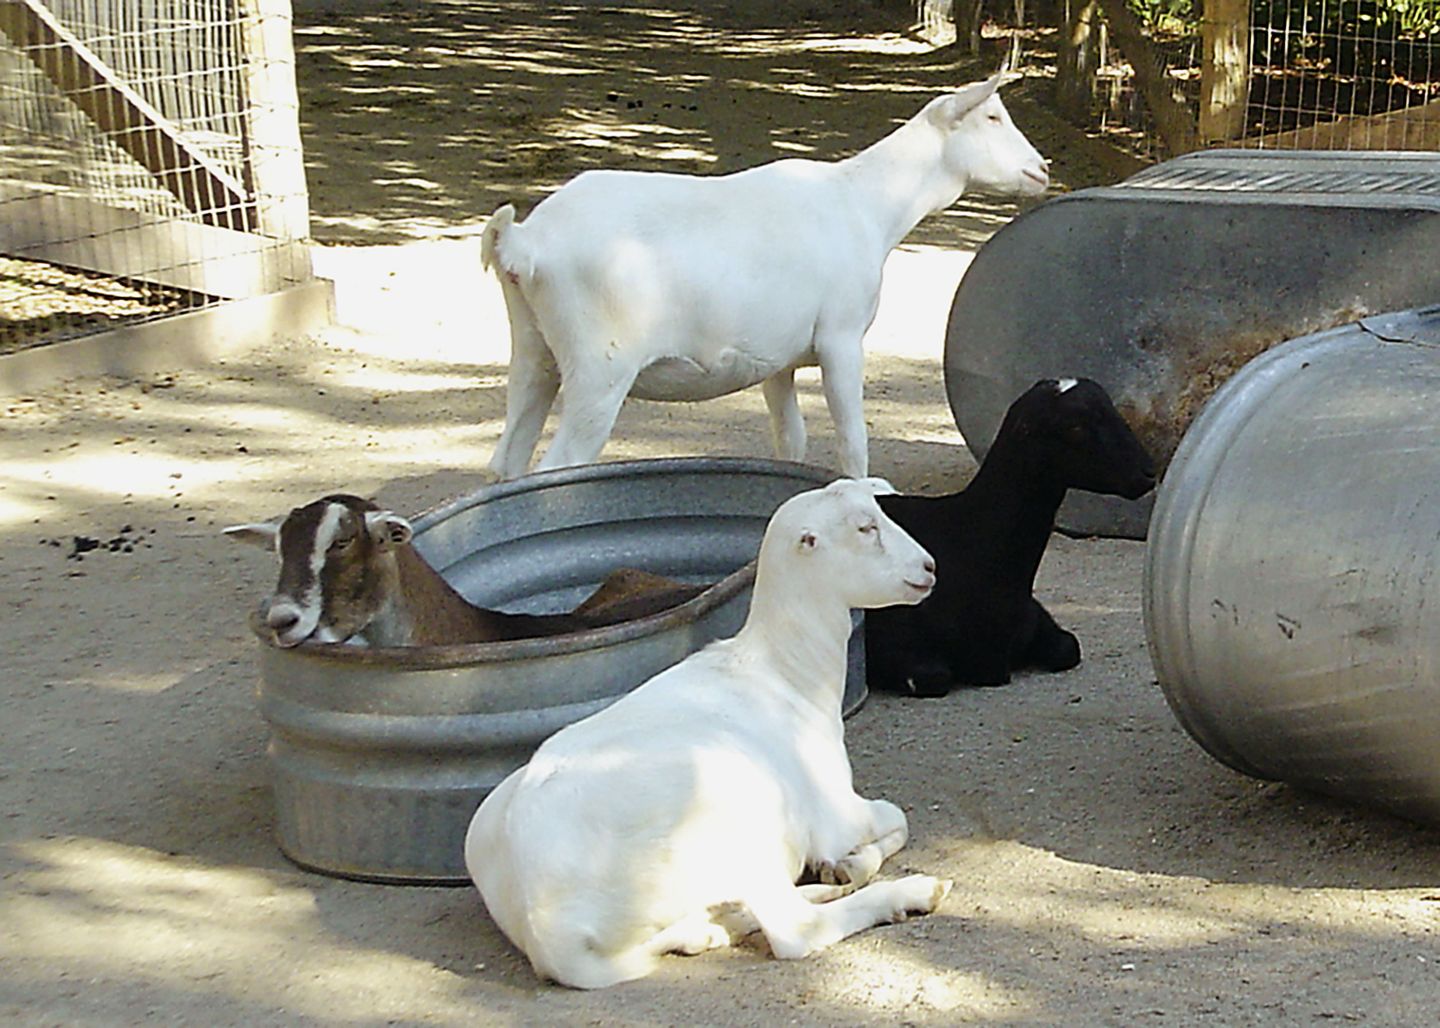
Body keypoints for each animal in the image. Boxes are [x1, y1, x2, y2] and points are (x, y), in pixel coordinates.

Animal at [465, 478, 947, 989]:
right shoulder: (835, 814)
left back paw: (726, 921)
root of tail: (547, 930)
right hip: (738, 818)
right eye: (865, 527)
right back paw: (910, 893)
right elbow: (897, 817)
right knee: (794, 931)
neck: (784, 674)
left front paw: (838, 870)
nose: (929, 567)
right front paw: (850, 865)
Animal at [482, 72, 1049, 481]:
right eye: (992, 116)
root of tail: (526, 243)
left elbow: (790, 443)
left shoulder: (779, 358)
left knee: (506, 464)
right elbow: (853, 444)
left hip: (534, 350)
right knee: (557, 469)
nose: (1041, 169)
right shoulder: (841, 338)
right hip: (600, 369)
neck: (864, 204)